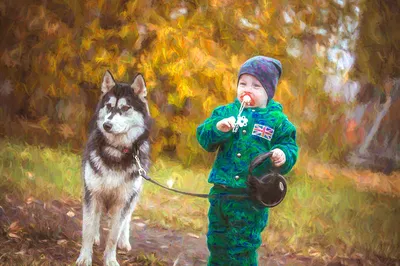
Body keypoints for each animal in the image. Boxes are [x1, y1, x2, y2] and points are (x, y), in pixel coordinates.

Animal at [76, 69, 151, 264]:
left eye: (125, 108)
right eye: (109, 106)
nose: (106, 125)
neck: (116, 151)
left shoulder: (123, 200)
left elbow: (113, 236)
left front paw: (110, 259)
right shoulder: (93, 193)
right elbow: (87, 229)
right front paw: (85, 257)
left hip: (133, 197)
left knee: (127, 220)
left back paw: (124, 241)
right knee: (96, 219)